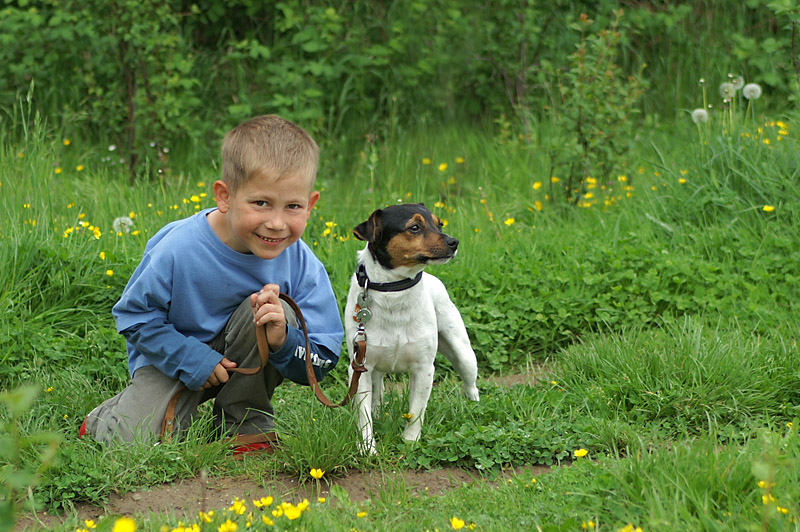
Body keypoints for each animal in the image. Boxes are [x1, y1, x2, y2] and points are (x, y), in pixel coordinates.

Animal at [346, 204, 482, 454]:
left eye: (439, 224)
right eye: (415, 227)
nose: (454, 241)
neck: (394, 290)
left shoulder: (423, 368)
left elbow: (416, 411)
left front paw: (410, 441)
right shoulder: (360, 369)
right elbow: (364, 415)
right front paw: (367, 447)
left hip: (463, 354)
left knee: (471, 385)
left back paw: (474, 408)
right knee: (378, 391)